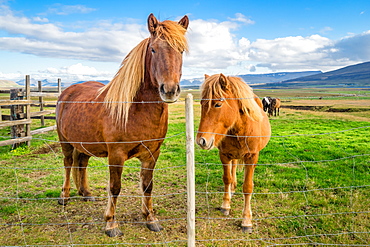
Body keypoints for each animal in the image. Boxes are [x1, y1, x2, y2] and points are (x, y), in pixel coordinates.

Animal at [56, 14, 189, 237]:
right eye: (154, 49)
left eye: (181, 50)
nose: (170, 90)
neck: (135, 110)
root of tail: (68, 91)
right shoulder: (116, 155)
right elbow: (115, 187)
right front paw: (111, 223)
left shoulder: (152, 154)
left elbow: (147, 186)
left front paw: (150, 219)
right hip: (65, 141)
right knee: (68, 164)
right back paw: (64, 197)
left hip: (84, 143)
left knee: (81, 163)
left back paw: (86, 193)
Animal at [197, 73, 272, 233]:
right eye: (201, 103)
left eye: (218, 104)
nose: (201, 141)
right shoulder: (224, 155)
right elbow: (227, 178)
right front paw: (225, 205)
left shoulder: (251, 158)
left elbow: (248, 187)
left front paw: (247, 221)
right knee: (233, 169)